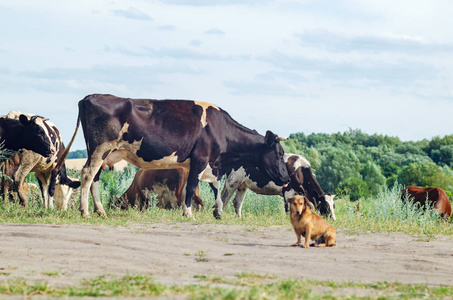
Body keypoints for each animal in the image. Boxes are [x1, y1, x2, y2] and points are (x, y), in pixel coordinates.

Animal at [57, 94, 290, 218]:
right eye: (279, 154)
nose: (287, 178)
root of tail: (88, 97)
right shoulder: (200, 160)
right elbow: (192, 188)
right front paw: (188, 213)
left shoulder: (210, 164)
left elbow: (213, 188)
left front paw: (217, 212)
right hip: (100, 148)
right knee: (87, 175)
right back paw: (85, 211)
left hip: (98, 152)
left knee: (94, 178)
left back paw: (100, 211)